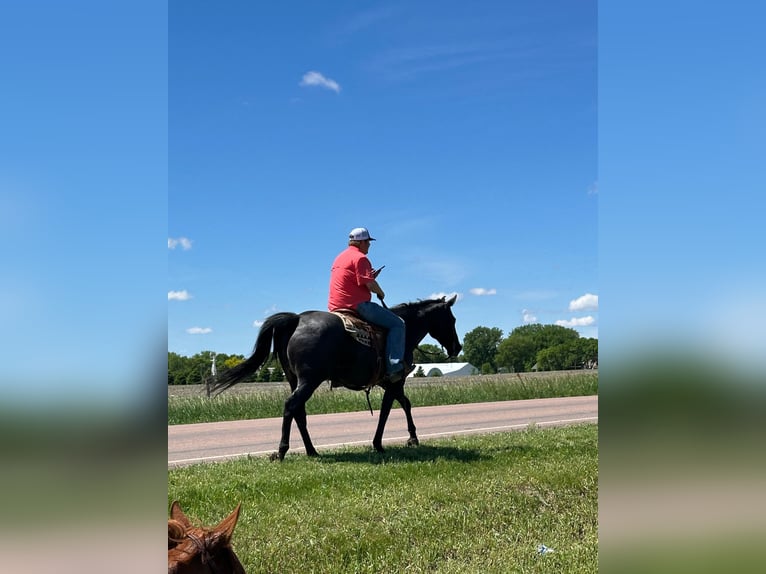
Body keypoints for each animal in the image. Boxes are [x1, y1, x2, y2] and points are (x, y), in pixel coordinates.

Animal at [207, 294, 464, 462]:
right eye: (452, 320)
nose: (457, 347)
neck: (405, 329)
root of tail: (296, 320)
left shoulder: (390, 384)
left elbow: (404, 404)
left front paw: (412, 437)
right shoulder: (394, 381)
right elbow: (387, 411)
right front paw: (381, 443)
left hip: (295, 380)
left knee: (299, 412)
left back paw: (311, 450)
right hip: (309, 380)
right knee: (291, 406)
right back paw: (281, 451)